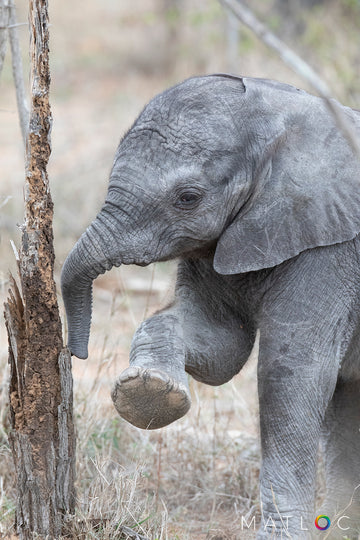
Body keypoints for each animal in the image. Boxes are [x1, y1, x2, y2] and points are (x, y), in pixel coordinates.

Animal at [60, 74, 360, 536]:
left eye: (188, 197)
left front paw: (278, 536)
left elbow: (289, 372)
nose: (77, 353)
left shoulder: (331, 246)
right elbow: (222, 349)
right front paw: (148, 394)